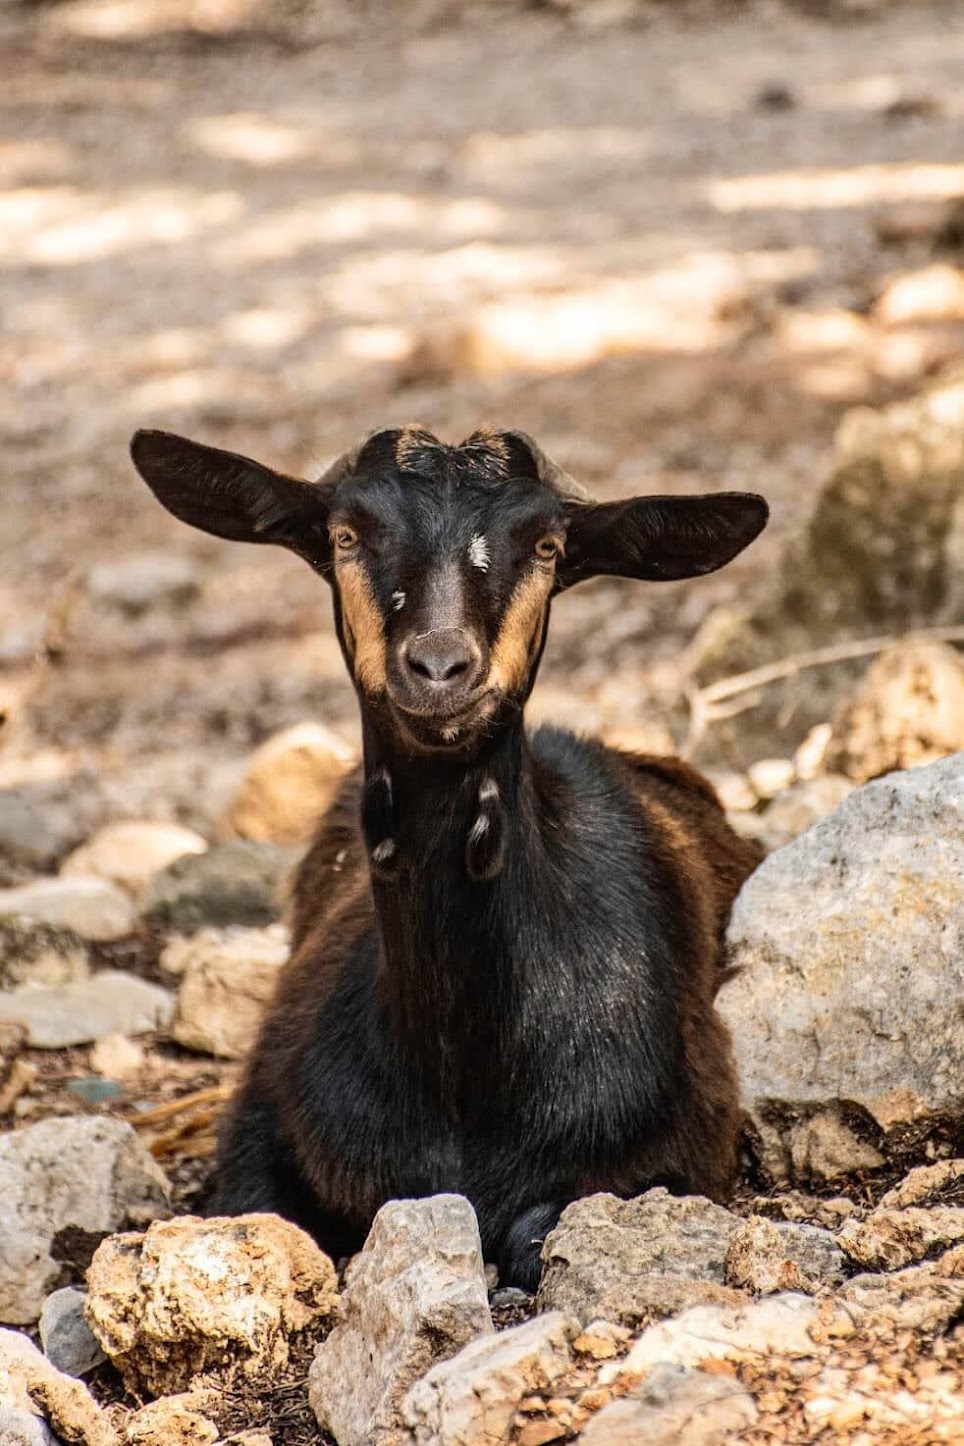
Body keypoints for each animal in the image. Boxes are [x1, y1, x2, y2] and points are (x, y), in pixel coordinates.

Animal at [132, 422, 768, 1289]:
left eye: (546, 543)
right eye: (346, 534)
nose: (439, 669)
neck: (465, 1083)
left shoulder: (685, 1145)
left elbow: (539, 1234)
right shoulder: (261, 1116)